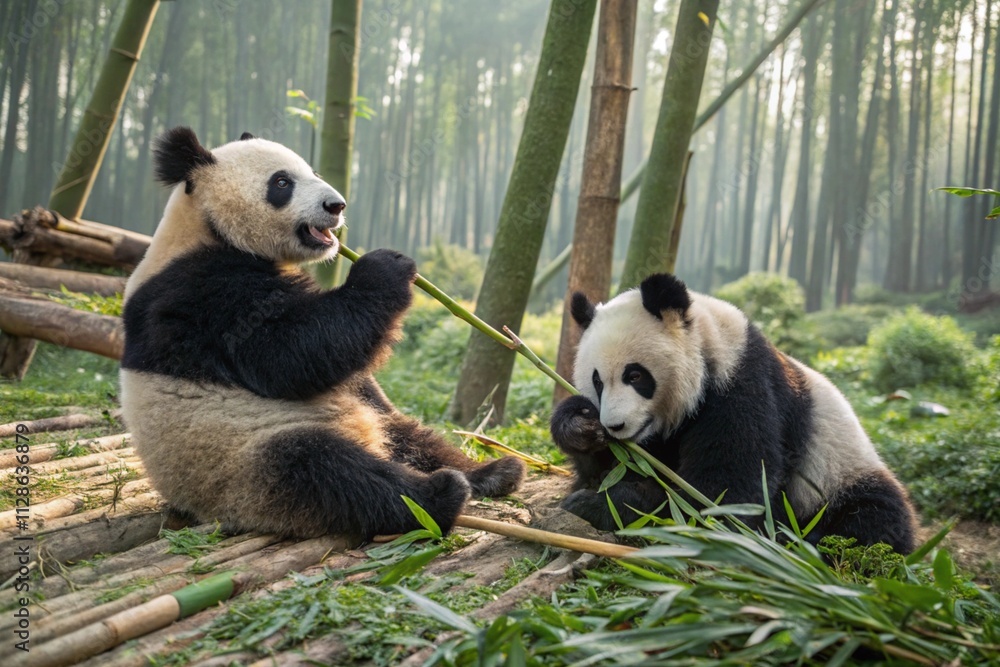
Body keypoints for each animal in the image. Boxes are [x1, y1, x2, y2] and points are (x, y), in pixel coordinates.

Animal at [120, 127, 525, 540]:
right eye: (282, 183)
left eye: (312, 171)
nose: (337, 205)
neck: (204, 227)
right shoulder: (201, 292)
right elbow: (286, 355)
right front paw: (386, 267)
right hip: (235, 459)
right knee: (328, 471)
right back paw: (439, 494)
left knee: (408, 434)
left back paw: (491, 472)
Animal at [550, 273, 916, 553]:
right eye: (597, 381)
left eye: (635, 376)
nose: (615, 425)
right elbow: (609, 468)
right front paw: (581, 428)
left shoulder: (741, 388)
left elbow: (723, 494)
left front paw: (600, 504)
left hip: (838, 472)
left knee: (872, 519)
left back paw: (802, 541)